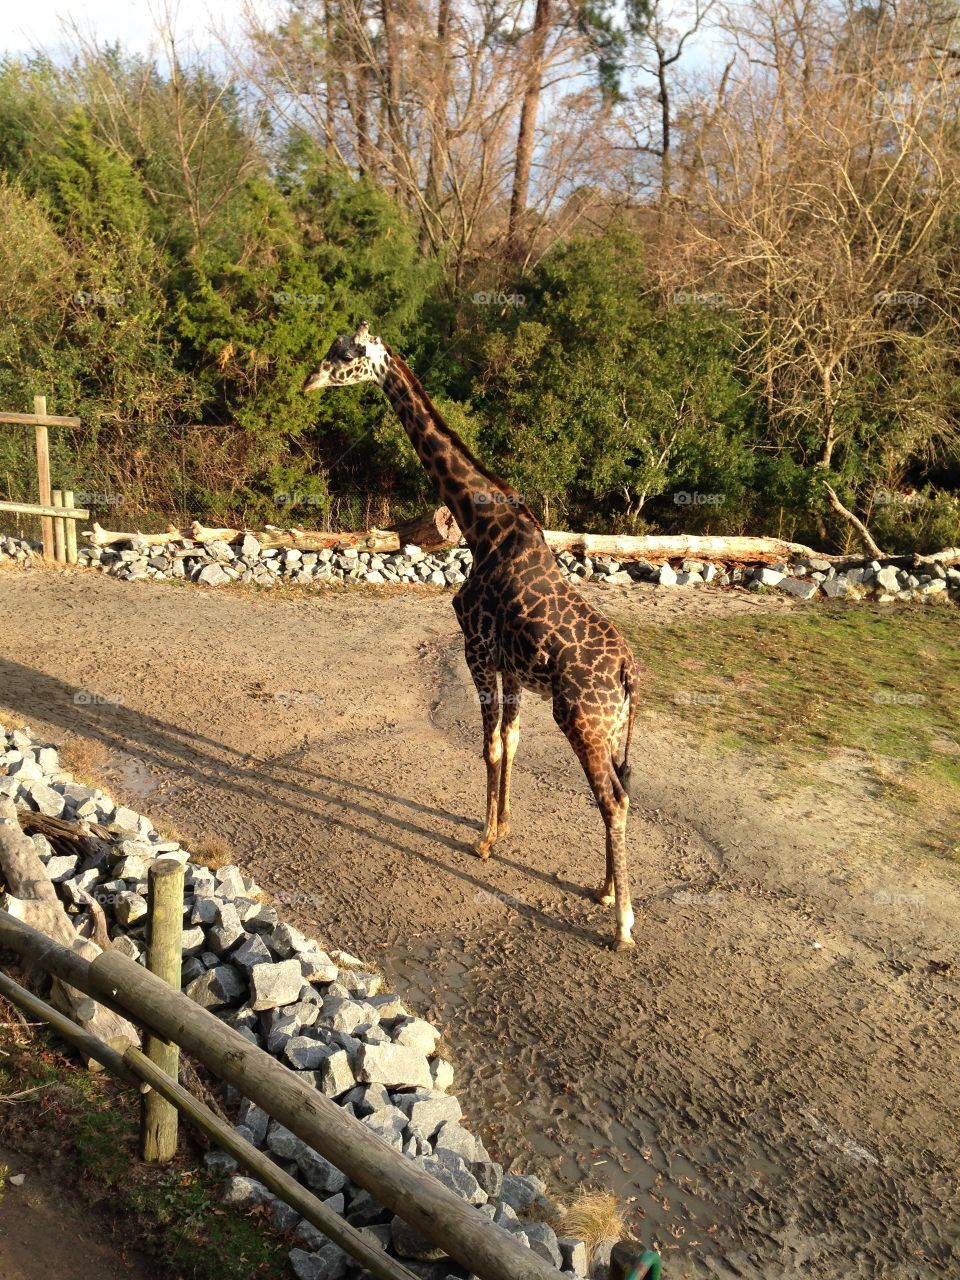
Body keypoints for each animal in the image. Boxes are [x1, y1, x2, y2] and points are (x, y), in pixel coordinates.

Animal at [303, 323, 643, 949]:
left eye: (344, 355)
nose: (309, 381)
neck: (480, 524)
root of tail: (629, 673)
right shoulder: (512, 665)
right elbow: (510, 741)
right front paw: (502, 827)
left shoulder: (476, 648)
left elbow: (488, 746)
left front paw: (483, 841)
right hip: (611, 729)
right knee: (623, 791)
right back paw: (606, 889)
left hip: (582, 721)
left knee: (612, 799)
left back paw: (623, 925)